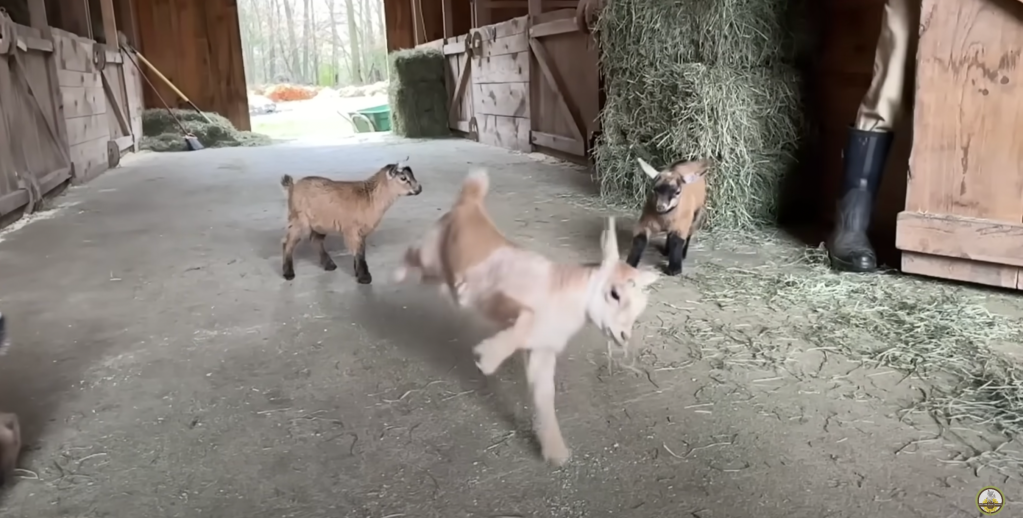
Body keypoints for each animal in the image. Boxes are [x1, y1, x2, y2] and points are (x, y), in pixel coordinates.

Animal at [280, 160, 422, 284]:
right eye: (403, 178)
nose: (419, 188)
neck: (370, 197)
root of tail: (293, 186)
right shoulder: (353, 230)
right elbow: (358, 253)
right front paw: (364, 277)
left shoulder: (361, 232)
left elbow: (361, 251)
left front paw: (359, 273)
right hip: (299, 220)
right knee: (288, 243)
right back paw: (288, 273)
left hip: (320, 223)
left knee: (316, 240)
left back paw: (329, 265)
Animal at [394, 169, 660, 466]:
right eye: (614, 294)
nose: (624, 336)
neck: (563, 292)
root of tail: (470, 202)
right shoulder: (503, 302)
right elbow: (525, 322)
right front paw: (487, 358)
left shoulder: (541, 350)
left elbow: (544, 396)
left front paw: (555, 451)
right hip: (431, 249)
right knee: (413, 253)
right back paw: (399, 274)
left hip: (442, 266)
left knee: (431, 277)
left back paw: (446, 291)